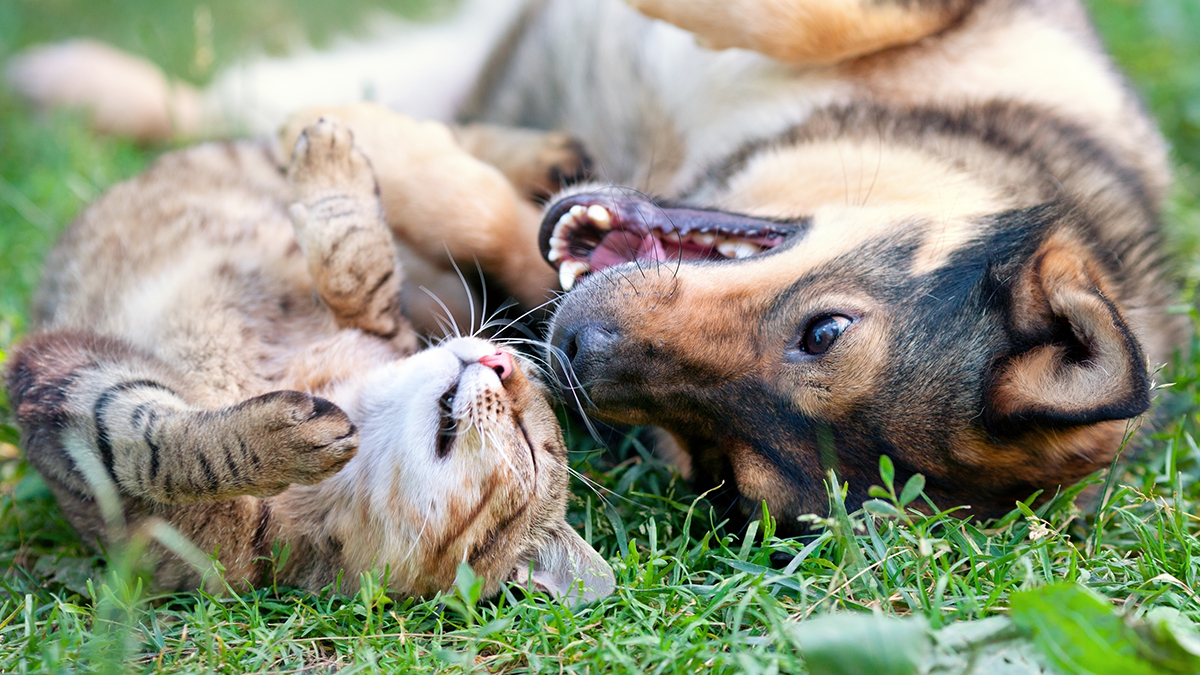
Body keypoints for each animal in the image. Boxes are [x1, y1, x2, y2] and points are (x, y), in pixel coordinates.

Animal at [9, 0, 1185, 526]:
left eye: (720, 466)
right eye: (827, 328)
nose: (575, 350)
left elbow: (484, 217)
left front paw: (392, 156)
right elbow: (824, 13)